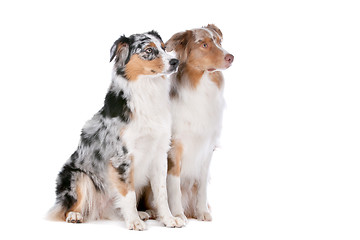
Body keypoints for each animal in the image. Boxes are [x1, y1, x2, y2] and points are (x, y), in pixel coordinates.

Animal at [165, 23, 233, 221]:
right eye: (204, 45)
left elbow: (202, 185)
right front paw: (177, 214)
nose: (231, 57)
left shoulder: (207, 147)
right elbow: (174, 185)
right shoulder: (175, 147)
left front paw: (202, 211)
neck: (201, 84)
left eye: (219, 42)